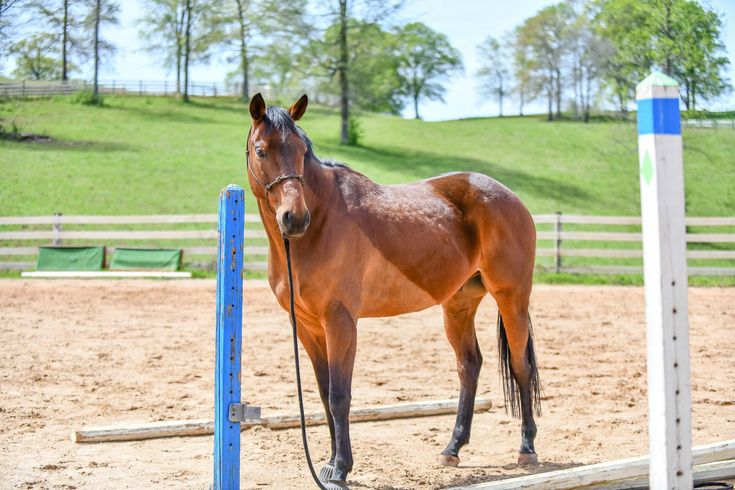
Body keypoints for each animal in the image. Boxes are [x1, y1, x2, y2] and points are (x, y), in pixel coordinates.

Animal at [247, 94, 540, 488]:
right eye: (261, 150)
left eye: (301, 151)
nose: (295, 218)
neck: (320, 224)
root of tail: (511, 198)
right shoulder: (307, 326)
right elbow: (324, 394)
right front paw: (329, 462)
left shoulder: (341, 321)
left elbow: (340, 395)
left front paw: (341, 468)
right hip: (459, 304)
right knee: (469, 365)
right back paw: (452, 449)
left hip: (512, 297)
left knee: (521, 365)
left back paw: (527, 449)